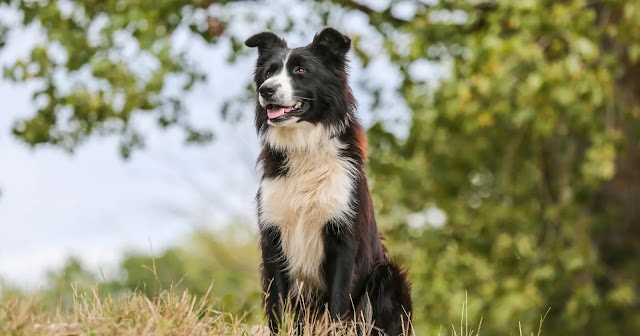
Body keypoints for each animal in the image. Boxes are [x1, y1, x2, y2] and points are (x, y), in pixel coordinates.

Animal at [248, 27, 412, 334]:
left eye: (301, 70)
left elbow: (337, 302)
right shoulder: (273, 237)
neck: (304, 146)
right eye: (269, 72)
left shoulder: (343, 239)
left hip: (387, 276)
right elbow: (277, 304)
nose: (266, 90)